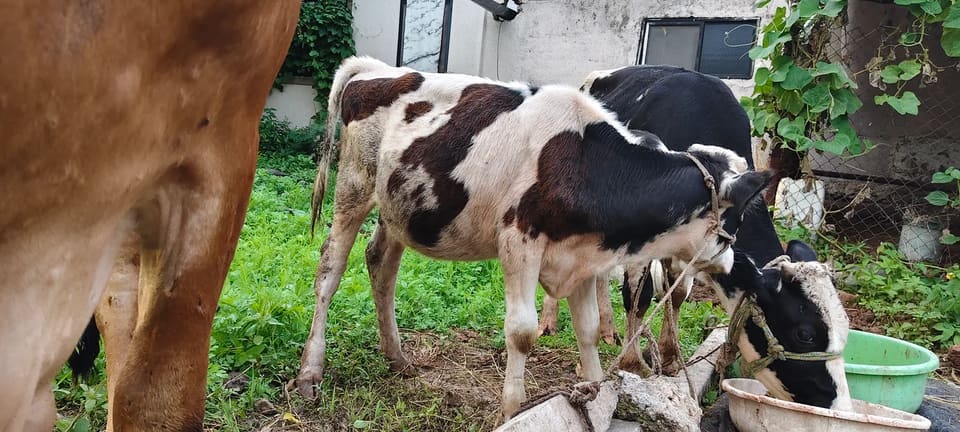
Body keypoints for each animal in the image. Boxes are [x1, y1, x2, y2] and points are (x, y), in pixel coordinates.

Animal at [294, 56, 774, 419]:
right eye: (734, 227)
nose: (732, 264)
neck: (585, 163)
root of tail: (378, 69)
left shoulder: (585, 258)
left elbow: (587, 331)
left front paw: (593, 393)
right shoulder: (519, 240)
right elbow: (522, 332)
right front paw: (513, 408)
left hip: (400, 208)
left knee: (381, 265)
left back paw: (396, 355)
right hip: (353, 188)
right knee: (329, 271)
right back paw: (310, 372)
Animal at [538, 65, 851, 410]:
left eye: (846, 328)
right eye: (804, 334)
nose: (838, 406)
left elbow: (676, 294)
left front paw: (670, 356)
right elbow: (640, 295)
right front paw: (633, 364)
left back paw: (608, 330)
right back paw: (548, 322)